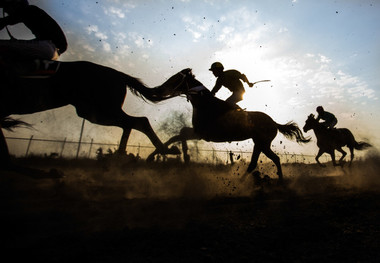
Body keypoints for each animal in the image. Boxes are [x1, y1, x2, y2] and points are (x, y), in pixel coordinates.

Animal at [0, 59, 178, 167]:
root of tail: (119, 74)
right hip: (97, 110)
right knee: (132, 122)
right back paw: (125, 155)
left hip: (99, 109)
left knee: (138, 121)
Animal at [147, 69, 310, 183]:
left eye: (175, 78)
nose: (157, 89)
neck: (205, 104)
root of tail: (274, 122)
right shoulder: (198, 132)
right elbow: (176, 136)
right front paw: (157, 154)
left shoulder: (202, 133)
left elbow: (179, 134)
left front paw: (172, 153)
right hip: (259, 143)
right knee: (257, 162)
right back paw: (243, 182)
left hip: (263, 143)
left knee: (272, 159)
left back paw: (275, 181)